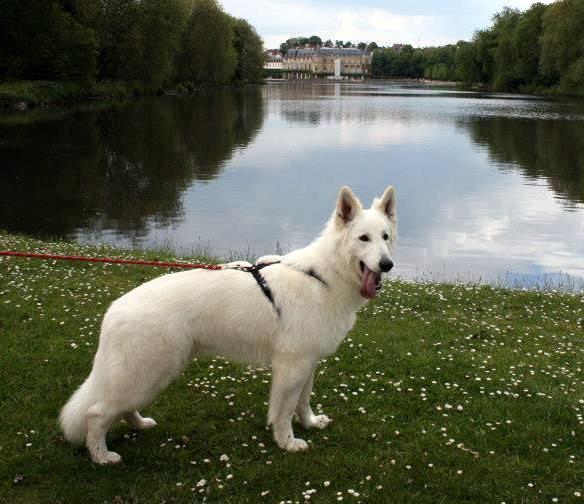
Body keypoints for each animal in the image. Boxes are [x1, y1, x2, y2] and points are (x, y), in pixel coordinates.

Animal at [59, 183, 396, 462]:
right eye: (363, 238)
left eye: (385, 238)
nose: (387, 265)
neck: (324, 276)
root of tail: (115, 309)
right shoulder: (291, 368)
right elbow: (285, 410)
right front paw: (287, 442)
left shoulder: (307, 364)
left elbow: (303, 402)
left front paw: (310, 423)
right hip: (147, 374)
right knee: (96, 413)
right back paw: (102, 456)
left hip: (151, 376)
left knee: (121, 408)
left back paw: (139, 424)